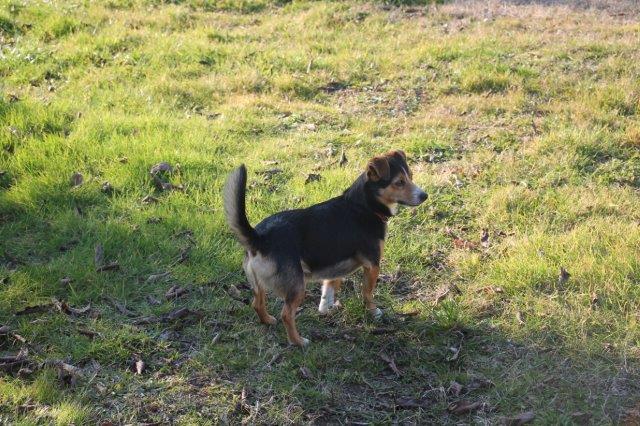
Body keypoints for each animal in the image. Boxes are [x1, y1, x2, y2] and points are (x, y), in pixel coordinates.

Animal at [223, 150, 427, 346]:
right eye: (399, 182)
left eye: (411, 176)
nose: (425, 196)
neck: (364, 205)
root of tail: (260, 238)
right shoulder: (372, 265)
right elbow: (367, 293)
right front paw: (373, 311)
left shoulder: (334, 264)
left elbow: (331, 284)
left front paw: (326, 306)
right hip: (297, 286)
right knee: (286, 314)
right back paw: (298, 341)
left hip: (258, 284)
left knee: (256, 303)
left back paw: (268, 321)